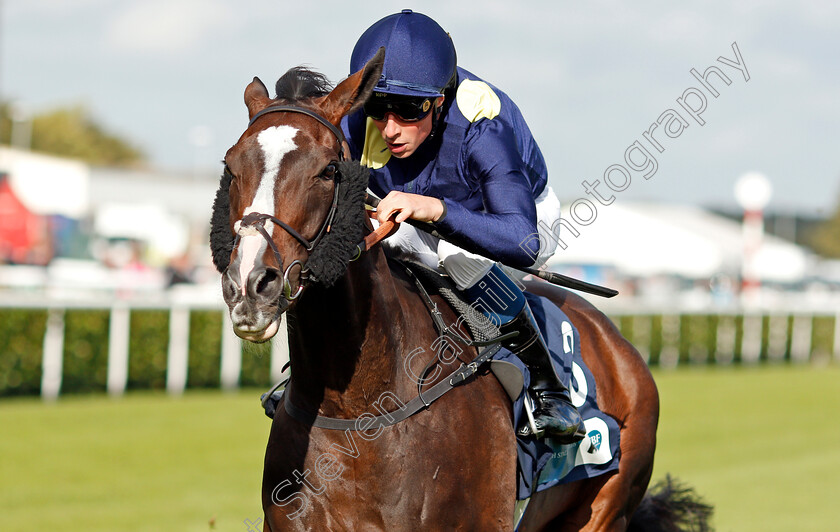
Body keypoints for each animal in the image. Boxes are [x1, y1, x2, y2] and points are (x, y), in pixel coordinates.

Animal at [212, 47, 708, 528]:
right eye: (230, 166)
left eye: (329, 170)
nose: (251, 285)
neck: (356, 409)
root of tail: (616, 341)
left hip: (607, 507)